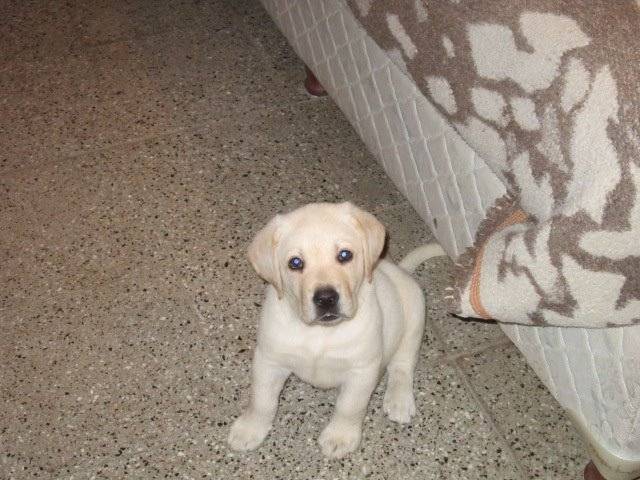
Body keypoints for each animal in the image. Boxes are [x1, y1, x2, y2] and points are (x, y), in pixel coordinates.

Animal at [228, 202, 445, 458]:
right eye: (295, 263)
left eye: (345, 255)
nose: (326, 299)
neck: (319, 332)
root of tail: (398, 270)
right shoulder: (268, 360)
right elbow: (261, 400)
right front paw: (249, 429)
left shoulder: (361, 370)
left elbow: (349, 406)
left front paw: (339, 437)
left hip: (414, 320)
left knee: (402, 365)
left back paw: (399, 400)